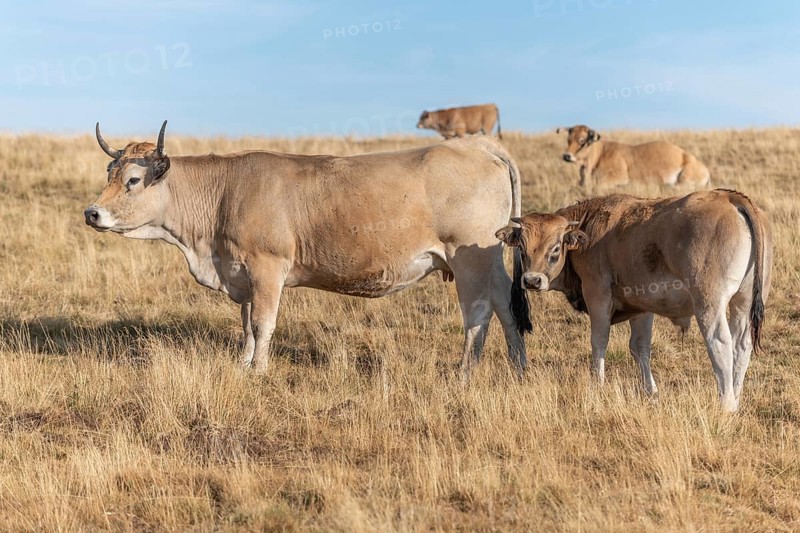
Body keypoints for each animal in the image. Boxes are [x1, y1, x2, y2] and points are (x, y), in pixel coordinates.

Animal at [84, 121, 531, 380]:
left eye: (134, 180)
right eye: (110, 173)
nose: (92, 213)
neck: (225, 193)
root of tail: (477, 145)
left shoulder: (267, 268)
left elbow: (263, 324)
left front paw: (259, 371)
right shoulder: (243, 274)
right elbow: (246, 325)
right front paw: (243, 364)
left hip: (470, 258)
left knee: (478, 315)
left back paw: (464, 373)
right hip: (491, 261)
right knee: (507, 308)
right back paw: (519, 367)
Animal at [495, 189, 772, 412]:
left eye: (555, 249)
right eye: (521, 248)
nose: (532, 280)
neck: (591, 226)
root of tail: (729, 197)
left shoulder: (597, 294)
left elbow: (599, 342)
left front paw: (597, 385)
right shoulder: (642, 307)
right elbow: (640, 348)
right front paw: (650, 391)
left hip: (709, 305)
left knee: (720, 345)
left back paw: (726, 404)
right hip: (742, 304)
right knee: (741, 346)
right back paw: (736, 398)